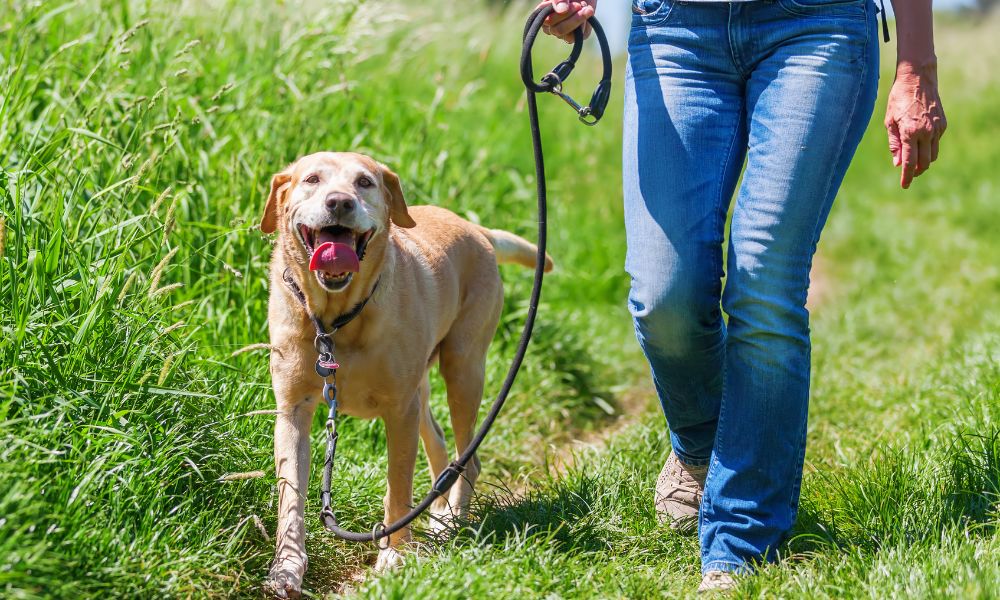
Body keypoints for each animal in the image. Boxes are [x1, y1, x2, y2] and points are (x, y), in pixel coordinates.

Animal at [262, 151, 552, 596]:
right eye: (311, 179)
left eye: (364, 182)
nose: (339, 202)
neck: (337, 320)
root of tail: (477, 229)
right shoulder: (293, 411)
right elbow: (290, 497)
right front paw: (287, 567)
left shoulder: (399, 410)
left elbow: (397, 486)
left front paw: (395, 555)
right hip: (423, 390)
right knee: (441, 446)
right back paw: (438, 517)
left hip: (463, 370)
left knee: (467, 458)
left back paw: (450, 522)